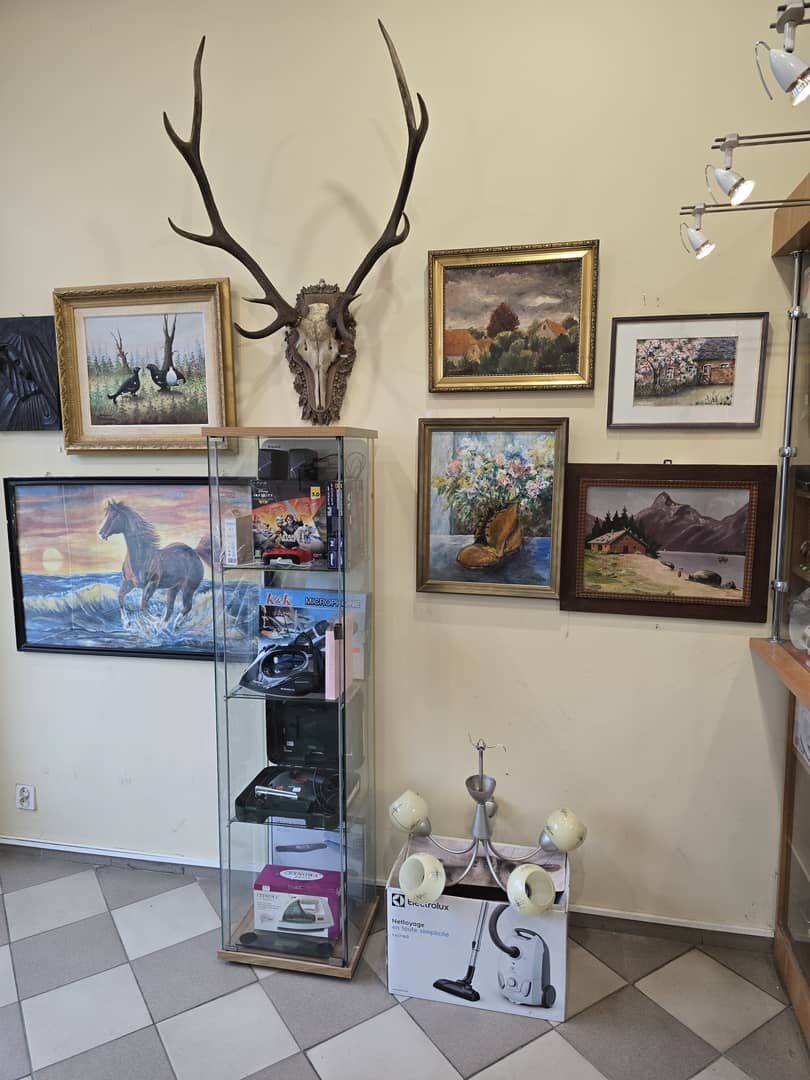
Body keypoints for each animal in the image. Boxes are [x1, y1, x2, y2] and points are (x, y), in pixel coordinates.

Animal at [97, 499, 210, 628]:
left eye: (114, 516)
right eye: (106, 515)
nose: (100, 533)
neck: (142, 557)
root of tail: (194, 552)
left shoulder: (151, 584)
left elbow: (142, 606)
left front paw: (154, 620)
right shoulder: (128, 583)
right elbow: (120, 597)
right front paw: (127, 622)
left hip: (188, 588)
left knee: (187, 607)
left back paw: (174, 624)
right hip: (173, 588)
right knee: (170, 608)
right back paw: (163, 625)